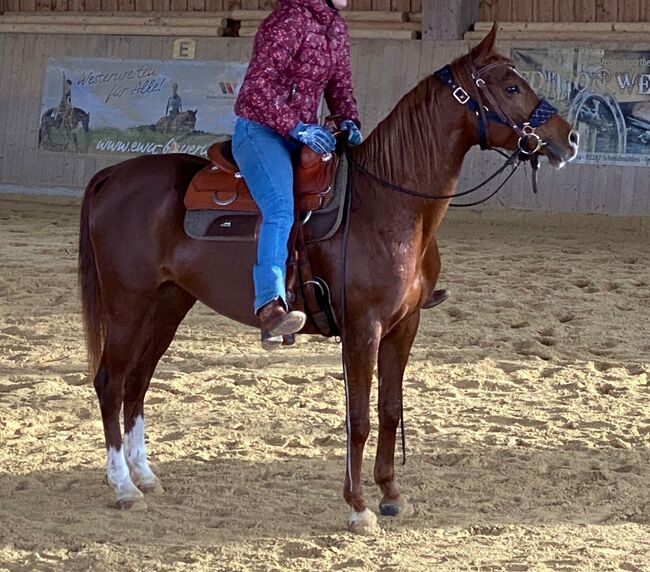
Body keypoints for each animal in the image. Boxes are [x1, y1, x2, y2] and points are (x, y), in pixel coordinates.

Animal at [77, 26, 576, 536]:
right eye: (511, 87)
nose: (569, 136)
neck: (388, 204)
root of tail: (112, 174)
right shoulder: (363, 329)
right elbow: (359, 418)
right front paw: (357, 507)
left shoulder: (404, 327)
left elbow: (390, 410)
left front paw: (392, 495)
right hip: (128, 303)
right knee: (110, 382)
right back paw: (123, 486)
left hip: (168, 303)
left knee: (138, 379)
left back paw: (144, 474)